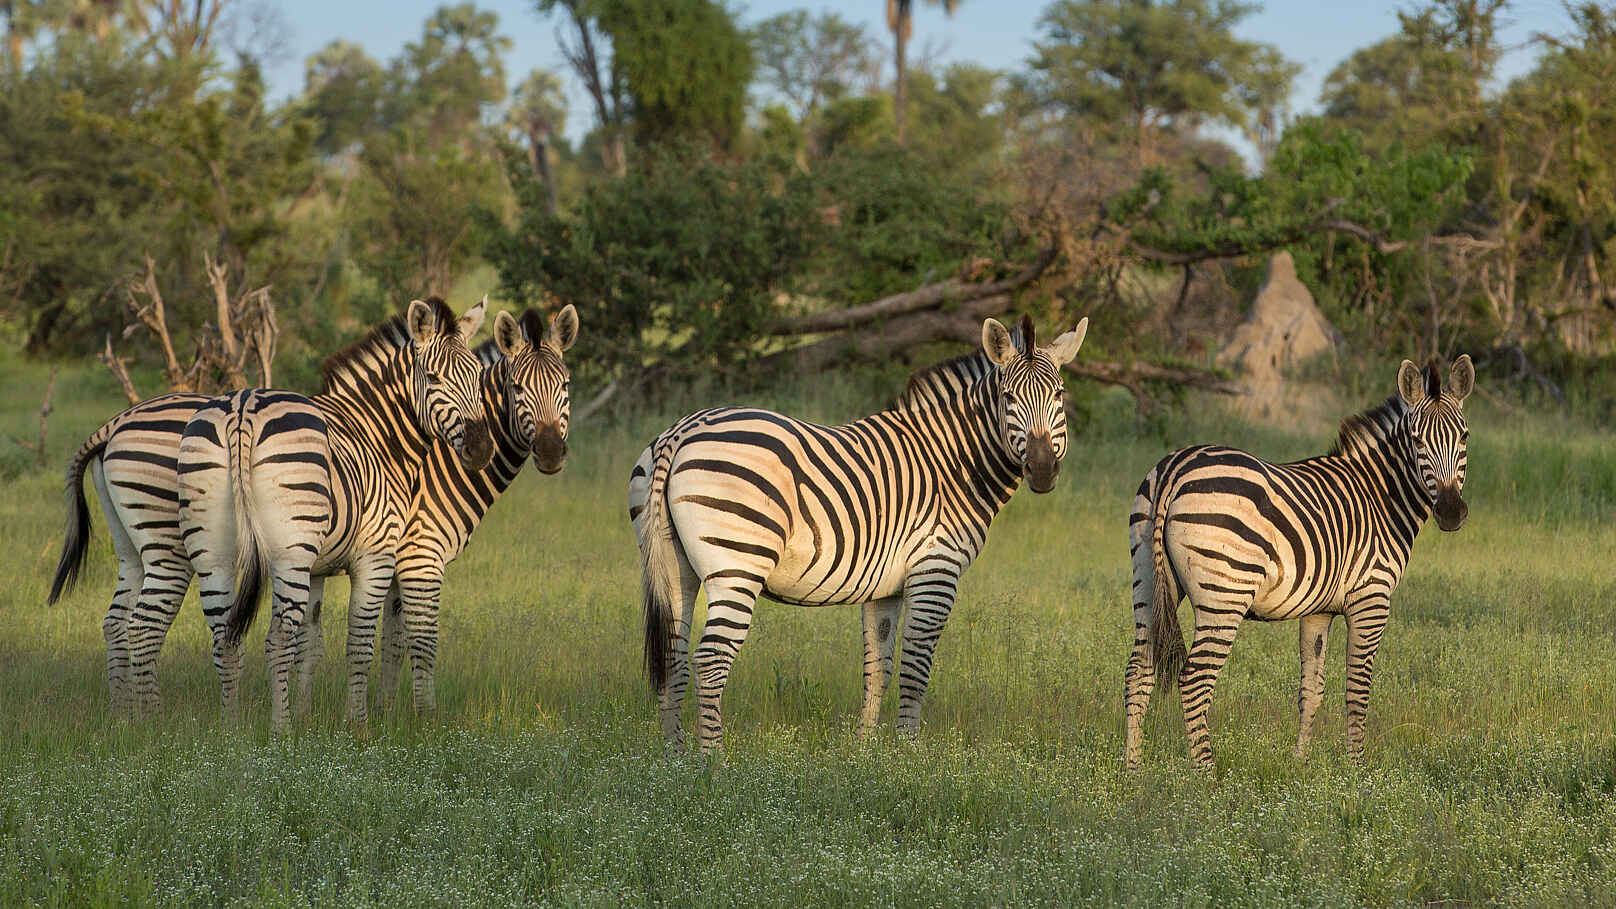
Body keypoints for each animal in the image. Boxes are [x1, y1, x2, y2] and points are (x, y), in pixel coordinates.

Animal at [172, 297, 492, 732]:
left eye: (477, 376)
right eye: (432, 377)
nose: (481, 448)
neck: (379, 434)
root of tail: (242, 408)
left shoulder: (318, 568)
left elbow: (312, 641)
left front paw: (307, 713)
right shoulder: (375, 556)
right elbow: (358, 643)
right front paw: (356, 724)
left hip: (212, 546)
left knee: (225, 638)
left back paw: (231, 727)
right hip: (289, 549)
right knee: (277, 638)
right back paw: (280, 732)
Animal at [291, 304, 579, 716]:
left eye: (565, 386)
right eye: (518, 388)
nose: (552, 451)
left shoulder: (396, 562)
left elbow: (394, 643)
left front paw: (388, 712)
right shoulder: (420, 554)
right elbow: (424, 643)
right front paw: (426, 717)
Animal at [629, 314, 1089, 754]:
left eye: (1059, 395)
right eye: (1008, 398)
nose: (1043, 470)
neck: (953, 462)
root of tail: (680, 432)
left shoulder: (884, 587)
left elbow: (878, 668)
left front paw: (864, 753)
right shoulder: (936, 571)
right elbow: (915, 668)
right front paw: (909, 754)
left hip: (676, 567)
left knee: (672, 657)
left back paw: (675, 758)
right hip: (738, 565)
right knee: (709, 661)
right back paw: (713, 763)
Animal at [1125, 356, 1473, 770]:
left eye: (1464, 437)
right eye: (1417, 440)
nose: (1451, 512)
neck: (1379, 495)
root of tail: (1174, 470)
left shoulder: (1319, 610)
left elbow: (1312, 688)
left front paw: (1300, 762)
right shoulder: (1371, 599)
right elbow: (1358, 689)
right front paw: (1357, 770)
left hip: (1149, 580)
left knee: (1138, 670)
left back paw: (1132, 769)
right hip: (1223, 594)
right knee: (1194, 679)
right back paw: (1206, 773)